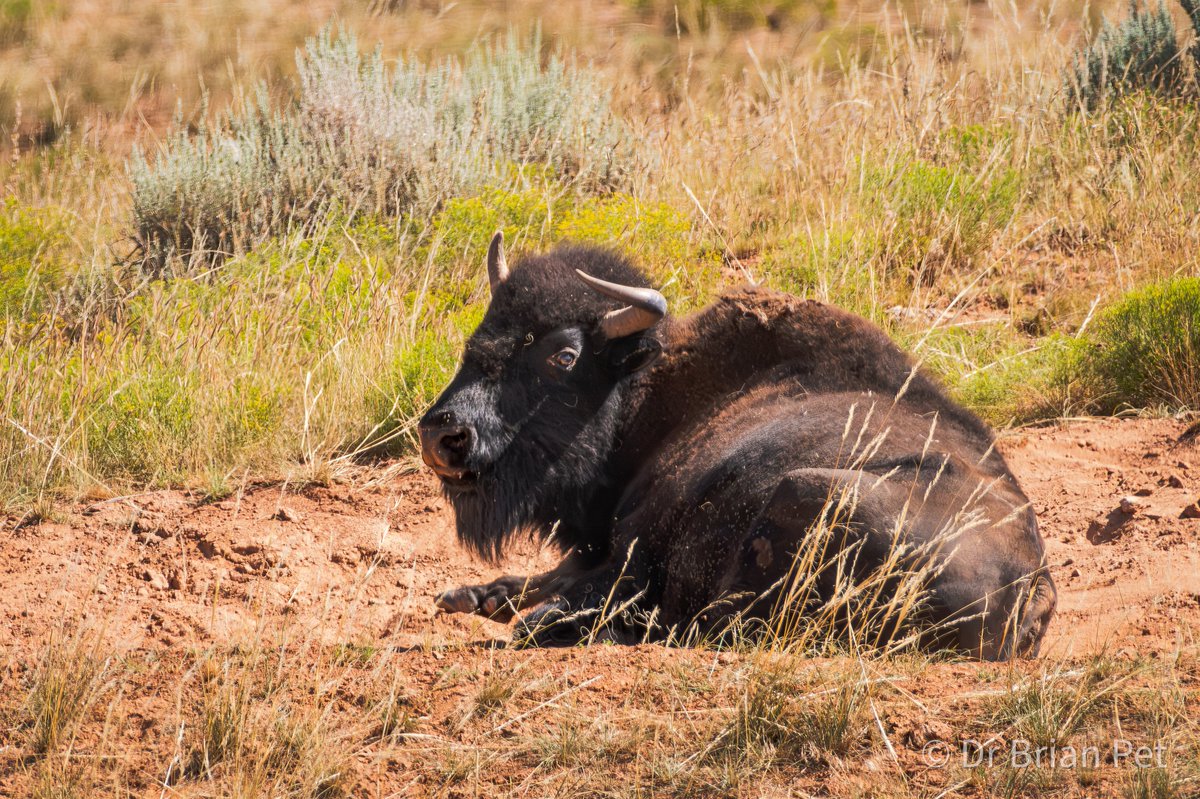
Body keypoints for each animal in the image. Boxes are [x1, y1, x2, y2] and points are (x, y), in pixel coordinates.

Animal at [419, 232, 1056, 659]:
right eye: (479, 335)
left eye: (564, 355)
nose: (443, 435)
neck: (649, 387)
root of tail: (1033, 590)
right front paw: (466, 596)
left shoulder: (632, 550)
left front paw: (520, 612)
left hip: (808, 488)